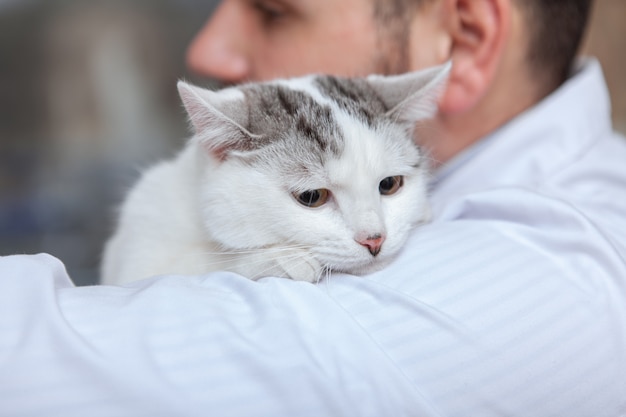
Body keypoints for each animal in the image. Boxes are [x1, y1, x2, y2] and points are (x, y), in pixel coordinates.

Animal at [100, 61, 448, 284]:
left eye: (389, 184)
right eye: (312, 197)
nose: (374, 240)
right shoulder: (138, 251)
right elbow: (203, 263)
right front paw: (282, 258)